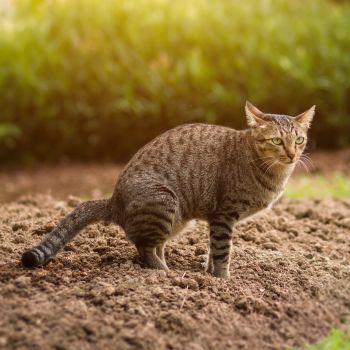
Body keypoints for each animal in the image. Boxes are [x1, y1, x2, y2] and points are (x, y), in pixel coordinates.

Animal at [20, 102, 316, 278]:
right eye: (277, 141)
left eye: (299, 140)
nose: (292, 154)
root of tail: (114, 200)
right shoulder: (224, 215)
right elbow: (222, 251)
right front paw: (223, 280)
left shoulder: (216, 219)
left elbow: (212, 250)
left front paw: (208, 273)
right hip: (164, 201)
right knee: (144, 248)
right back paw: (165, 273)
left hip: (177, 219)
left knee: (152, 244)